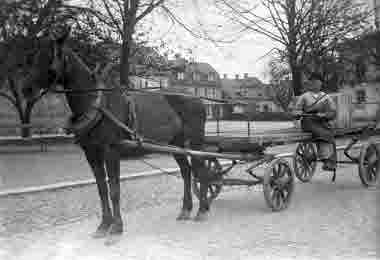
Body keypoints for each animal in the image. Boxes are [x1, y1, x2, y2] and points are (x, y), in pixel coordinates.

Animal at [25, 31, 212, 242]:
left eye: (50, 57)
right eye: (35, 57)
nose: (26, 89)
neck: (97, 104)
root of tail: (196, 98)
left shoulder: (111, 152)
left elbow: (114, 189)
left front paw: (116, 227)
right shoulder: (92, 154)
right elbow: (102, 189)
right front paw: (103, 225)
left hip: (194, 142)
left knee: (200, 170)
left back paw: (202, 210)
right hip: (175, 144)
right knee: (187, 171)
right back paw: (186, 209)